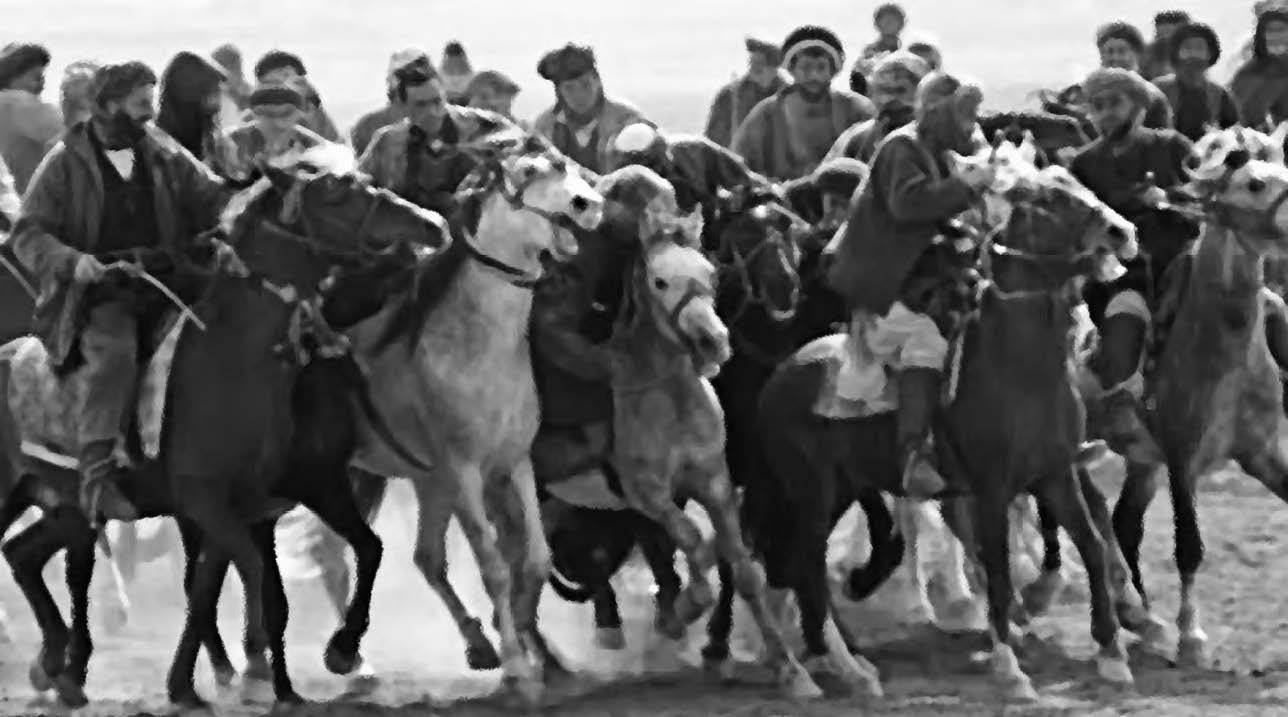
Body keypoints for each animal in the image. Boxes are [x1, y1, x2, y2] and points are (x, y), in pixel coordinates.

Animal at [0, 146, 447, 711]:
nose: (431, 224)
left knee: (22, 554)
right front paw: (270, 682)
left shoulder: (280, 495)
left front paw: (323, 658)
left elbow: (357, 551)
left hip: (62, 506)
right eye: (335, 192)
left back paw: (57, 666)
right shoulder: (210, 503)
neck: (232, 360)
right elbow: (258, 586)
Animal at [341, 129, 605, 705]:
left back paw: (474, 644)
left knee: (425, 558)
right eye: (527, 172)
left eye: (565, 165)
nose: (588, 204)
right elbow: (494, 564)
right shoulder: (463, 471)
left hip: (424, 481)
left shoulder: (514, 463)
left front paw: (528, 643)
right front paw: (517, 668)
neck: (478, 347)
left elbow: (534, 557)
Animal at [748, 136, 1142, 701]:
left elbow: (1089, 543)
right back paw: (846, 668)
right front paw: (1009, 665)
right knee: (807, 569)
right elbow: (996, 563)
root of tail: (776, 380)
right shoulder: (992, 488)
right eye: (1046, 199)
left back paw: (845, 664)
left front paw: (1111, 652)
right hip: (812, 491)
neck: (1021, 368)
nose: (1121, 231)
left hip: (839, 488)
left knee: (802, 569)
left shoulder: (1054, 473)